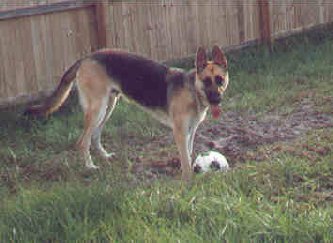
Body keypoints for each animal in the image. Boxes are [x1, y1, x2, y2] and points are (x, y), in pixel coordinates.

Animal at [26, 45, 228, 180]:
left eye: (220, 79)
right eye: (206, 81)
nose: (216, 100)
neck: (193, 90)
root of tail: (86, 57)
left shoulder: (190, 131)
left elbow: (189, 152)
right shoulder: (179, 132)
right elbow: (185, 158)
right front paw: (188, 180)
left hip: (109, 107)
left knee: (95, 135)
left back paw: (104, 156)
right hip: (98, 109)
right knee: (82, 141)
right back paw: (90, 166)